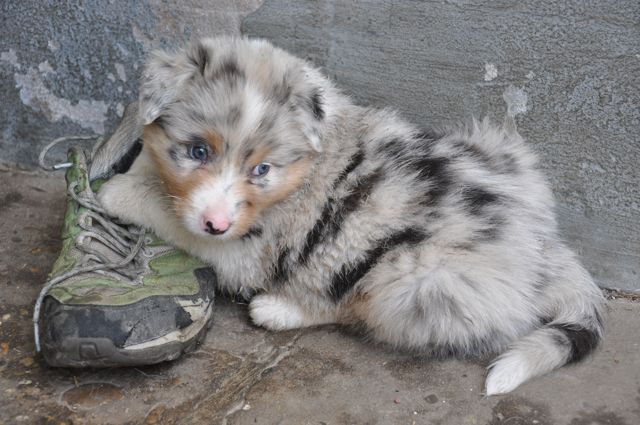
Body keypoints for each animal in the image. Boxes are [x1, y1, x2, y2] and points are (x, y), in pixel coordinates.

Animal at [97, 36, 604, 394]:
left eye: (261, 169)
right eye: (197, 151)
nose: (216, 223)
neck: (306, 163)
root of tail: (542, 248)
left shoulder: (246, 245)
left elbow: (168, 214)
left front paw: (114, 192)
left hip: (410, 280)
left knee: (352, 308)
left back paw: (278, 309)